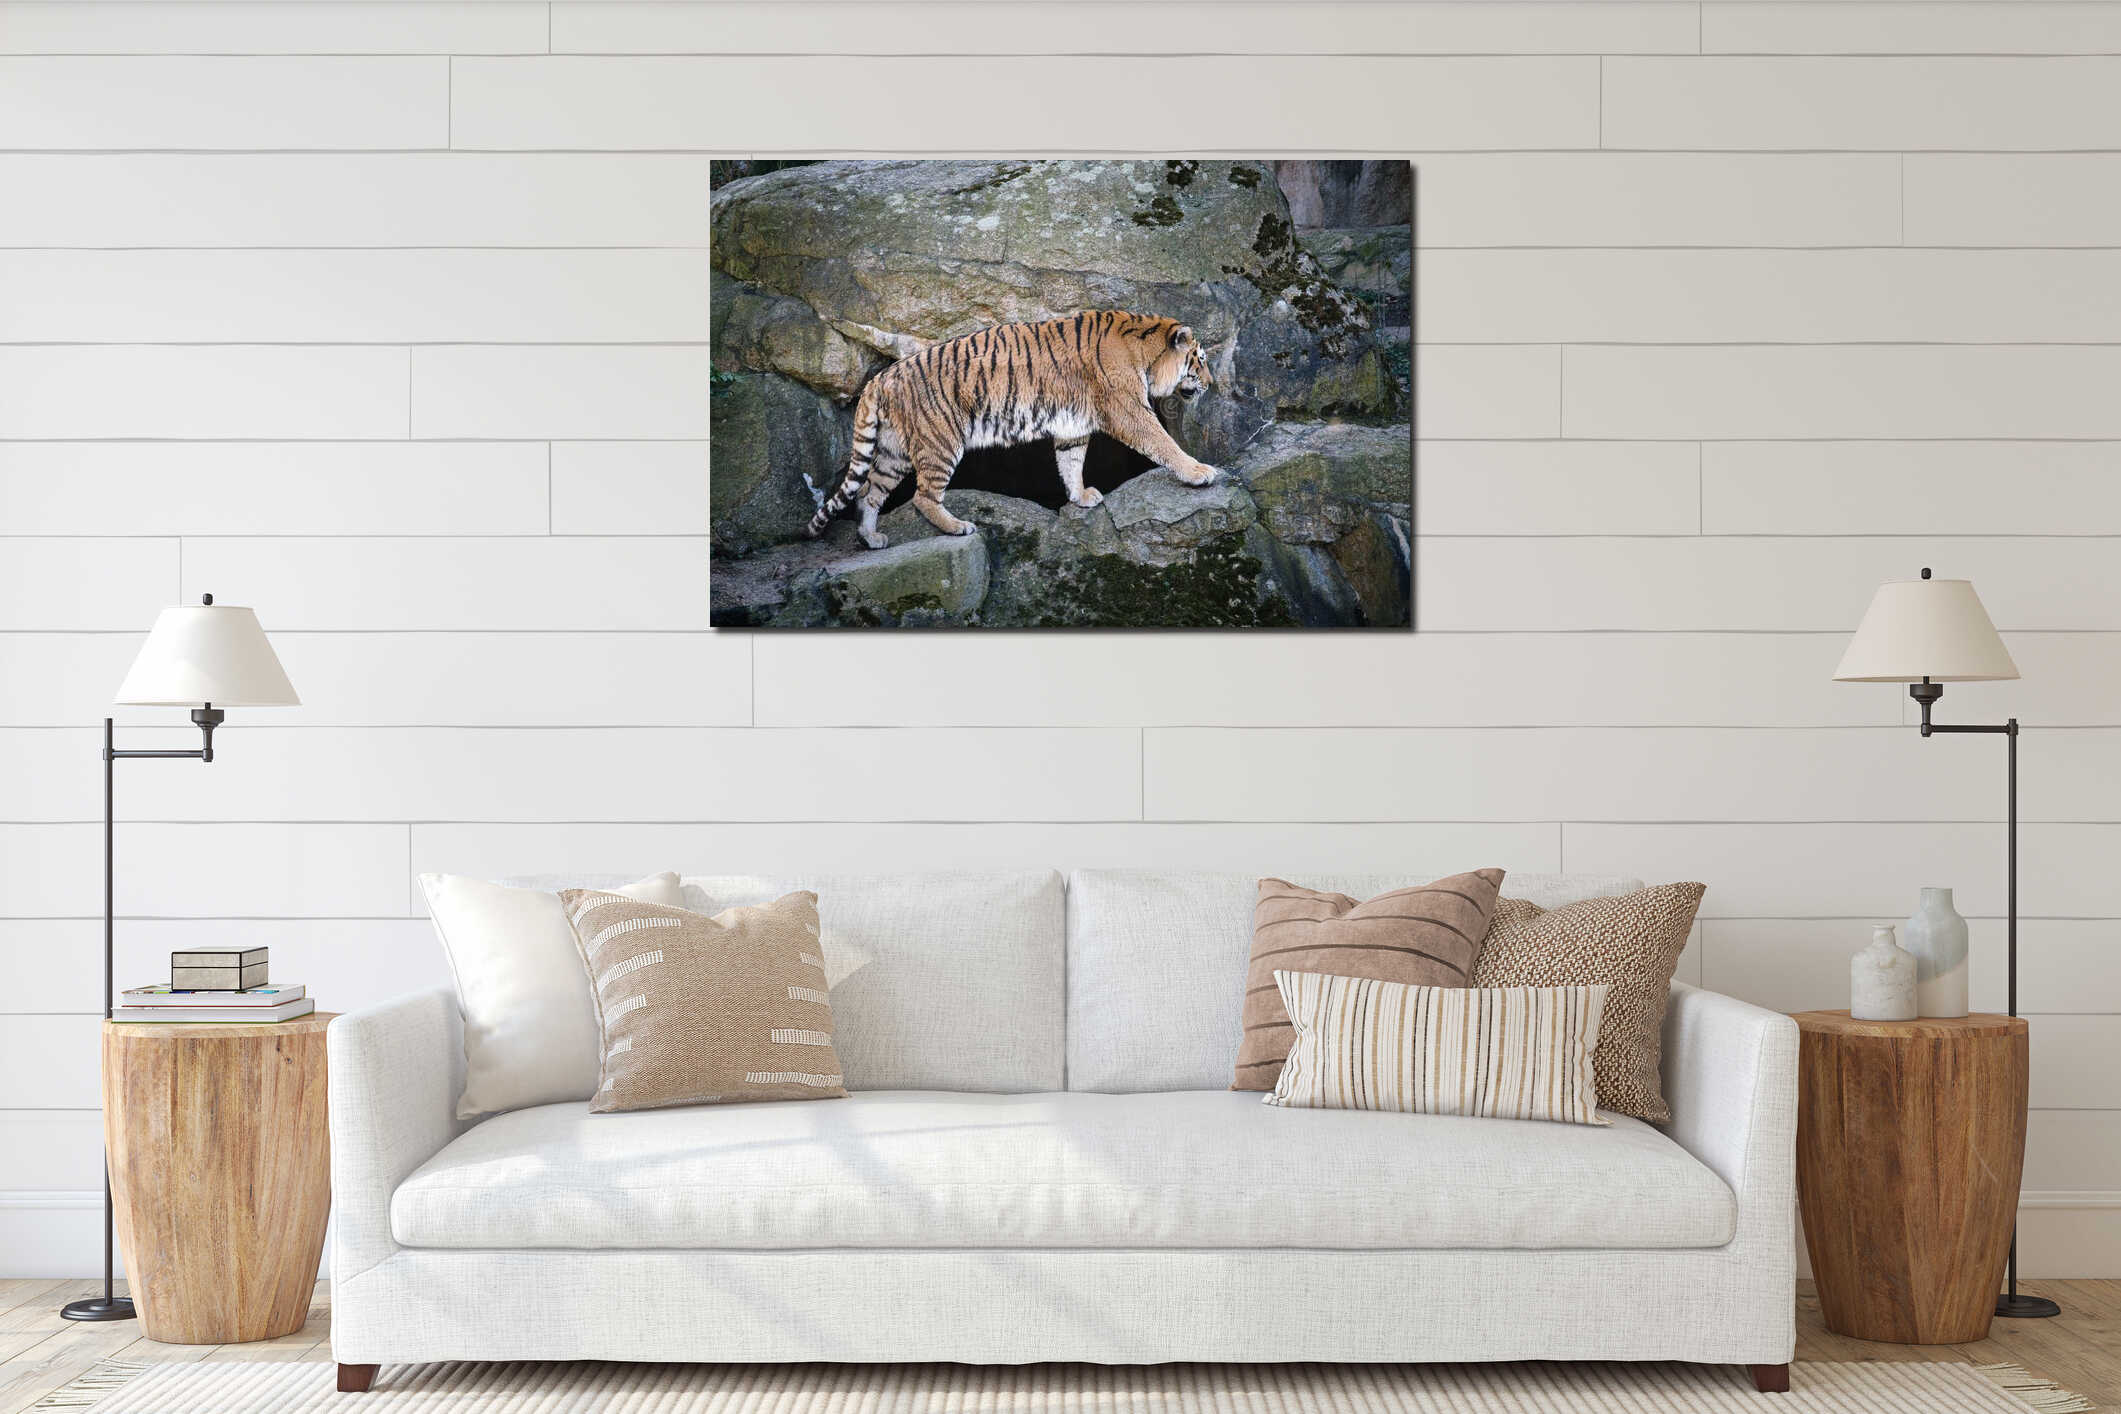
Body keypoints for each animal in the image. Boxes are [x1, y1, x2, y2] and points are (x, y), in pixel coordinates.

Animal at [803, 309, 1220, 550]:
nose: (1211, 383)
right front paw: (1199, 472)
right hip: (941, 441)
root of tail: (880, 377)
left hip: (893, 451)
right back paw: (958, 528)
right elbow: (1162, 443)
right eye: (1199, 360)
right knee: (922, 496)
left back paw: (872, 538)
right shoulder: (1129, 409)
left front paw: (1080, 496)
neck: (1146, 352)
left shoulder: (1072, 425)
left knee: (868, 493)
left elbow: (1070, 463)